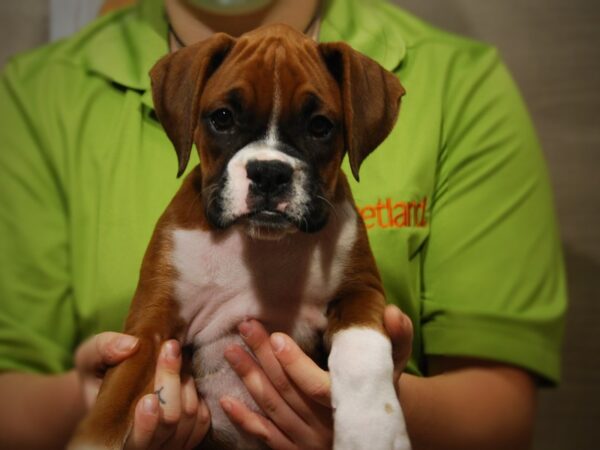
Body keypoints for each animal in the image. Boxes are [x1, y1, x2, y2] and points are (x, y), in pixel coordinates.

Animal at [70, 24, 408, 450]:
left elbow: (362, 351)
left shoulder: (360, 291)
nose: (269, 172)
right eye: (223, 118)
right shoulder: (151, 324)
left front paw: (373, 429)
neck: (262, 246)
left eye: (320, 126)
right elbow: (114, 401)